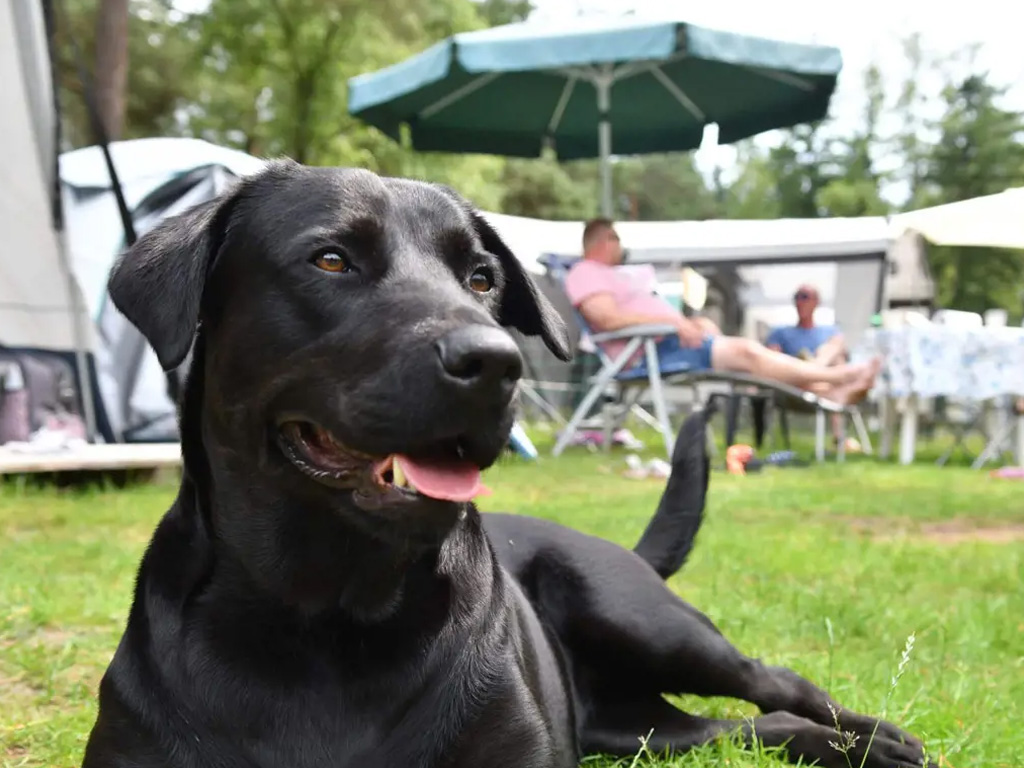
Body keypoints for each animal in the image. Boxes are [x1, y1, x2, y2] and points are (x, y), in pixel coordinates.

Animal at [81, 162, 937, 768]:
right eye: (329, 259)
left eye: (481, 277)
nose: (495, 363)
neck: (323, 620)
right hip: (637, 730)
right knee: (745, 727)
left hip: (644, 619)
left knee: (775, 683)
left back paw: (871, 740)